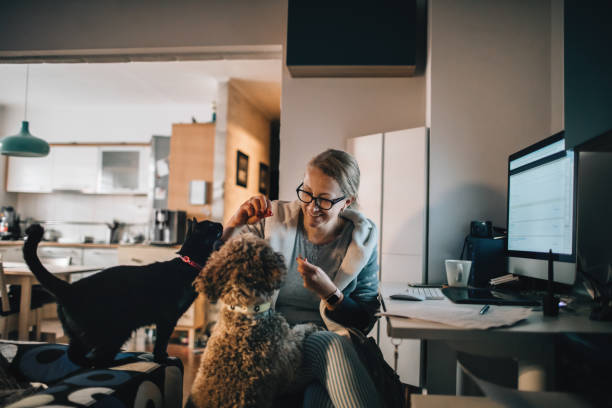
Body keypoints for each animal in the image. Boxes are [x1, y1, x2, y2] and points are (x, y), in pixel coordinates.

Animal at [23, 220, 222, 366]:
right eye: (211, 226)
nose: (220, 223)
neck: (187, 264)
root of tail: (70, 288)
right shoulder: (167, 319)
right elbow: (161, 343)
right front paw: (163, 359)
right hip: (117, 331)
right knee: (97, 359)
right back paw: (121, 360)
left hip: (86, 336)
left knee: (76, 355)